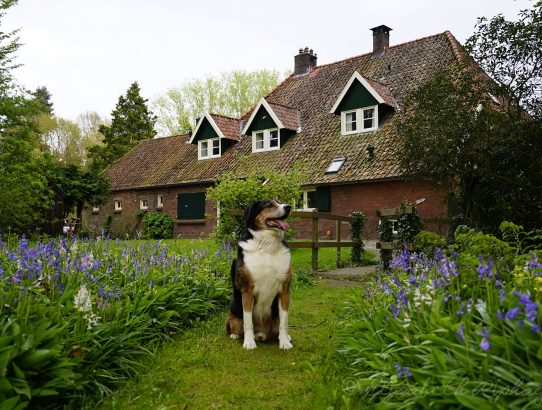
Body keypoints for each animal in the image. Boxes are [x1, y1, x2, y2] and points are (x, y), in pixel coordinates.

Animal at [225, 199, 294, 350]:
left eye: (279, 202)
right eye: (269, 205)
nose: (288, 207)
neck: (268, 246)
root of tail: (262, 333)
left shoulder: (285, 289)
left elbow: (284, 322)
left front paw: (284, 342)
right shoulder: (248, 290)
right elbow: (248, 321)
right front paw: (249, 342)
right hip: (233, 315)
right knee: (234, 326)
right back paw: (235, 335)